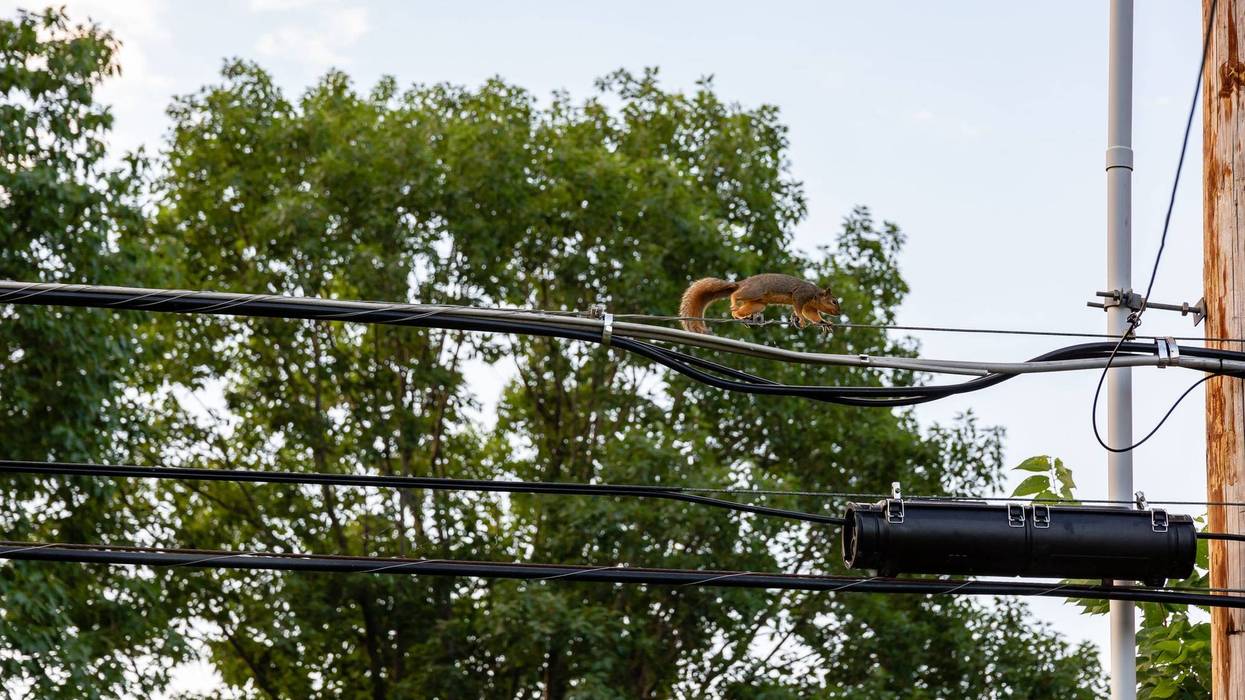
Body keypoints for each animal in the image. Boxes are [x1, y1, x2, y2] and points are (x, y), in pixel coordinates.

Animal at [679, 273, 841, 334]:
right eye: (834, 301)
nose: (839, 313)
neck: (815, 295)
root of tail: (742, 283)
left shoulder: (810, 307)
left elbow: (812, 315)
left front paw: (824, 322)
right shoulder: (800, 295)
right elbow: (800, 310)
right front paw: (800, 319)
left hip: (758, 304)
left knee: (740, 310)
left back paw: (741, 317)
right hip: (754, 291)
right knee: (735, 294)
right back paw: (734, 302)